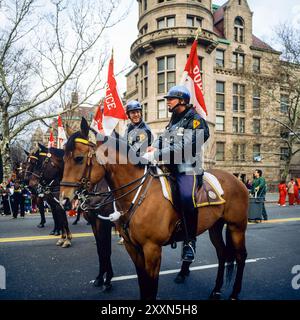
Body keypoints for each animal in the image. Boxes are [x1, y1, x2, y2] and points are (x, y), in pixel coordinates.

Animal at [59, 117, 247, 300]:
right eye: (63, 159)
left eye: (79, 158)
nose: (64, 199)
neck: (138, 194)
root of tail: (237, 179)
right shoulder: (132, 247)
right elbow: (142, 282)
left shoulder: (152, 249)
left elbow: (150, 285)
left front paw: (105, 280)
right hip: (215, 226)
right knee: (222, 254)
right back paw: (216, 290)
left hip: (236, 227)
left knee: (240, 256)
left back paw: (234, 293)